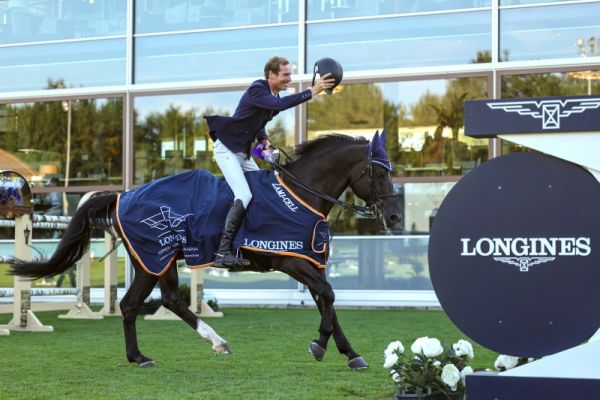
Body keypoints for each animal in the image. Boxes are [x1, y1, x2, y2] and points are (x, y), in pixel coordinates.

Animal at [9, 134, 400, 368]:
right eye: (379, 174)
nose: (395, 217)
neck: (300, 194)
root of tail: (123, 195)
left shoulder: (309, 261)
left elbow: (326, 301)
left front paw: (350, 353)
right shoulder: (289, 260)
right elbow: (327, 295)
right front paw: (321, 345)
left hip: (152, 262)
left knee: (138, 304)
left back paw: (140, 356)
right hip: (157, 258)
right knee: (161, 301)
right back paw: (214, 342)